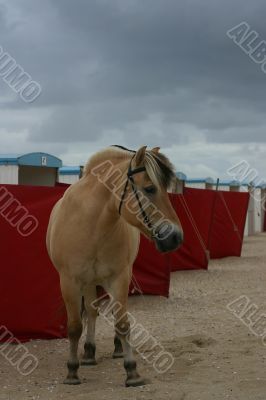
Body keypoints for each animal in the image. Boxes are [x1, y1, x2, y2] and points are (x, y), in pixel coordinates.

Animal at [46, 145, 183, 386]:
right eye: (149, 188)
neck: (92, 225)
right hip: (89, 282)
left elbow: (123, 324)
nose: (176, 237)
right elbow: (74, 326)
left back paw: (116, 348)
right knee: (91, 312)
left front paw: (132, 371)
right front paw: (72, 371)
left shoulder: (119, 278)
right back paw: (88, 353)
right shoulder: (70, 282)